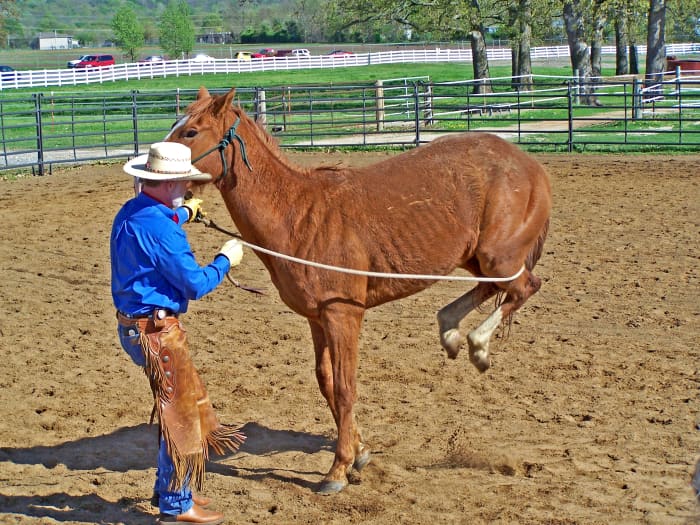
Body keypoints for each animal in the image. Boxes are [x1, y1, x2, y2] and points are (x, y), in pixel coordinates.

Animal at [168, 88, 552, 494]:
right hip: (475, 257)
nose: (148, 169)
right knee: (492, 288)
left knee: (524, 286)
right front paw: (359, 451)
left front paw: (338, 470)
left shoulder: (344, 314)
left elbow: (345, 388)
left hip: (498, 256)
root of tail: (530, 166)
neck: (297, 215)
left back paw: (477, 344)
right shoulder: (318, 319)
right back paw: (450, 330)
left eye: (191, 131)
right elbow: (327, 383)